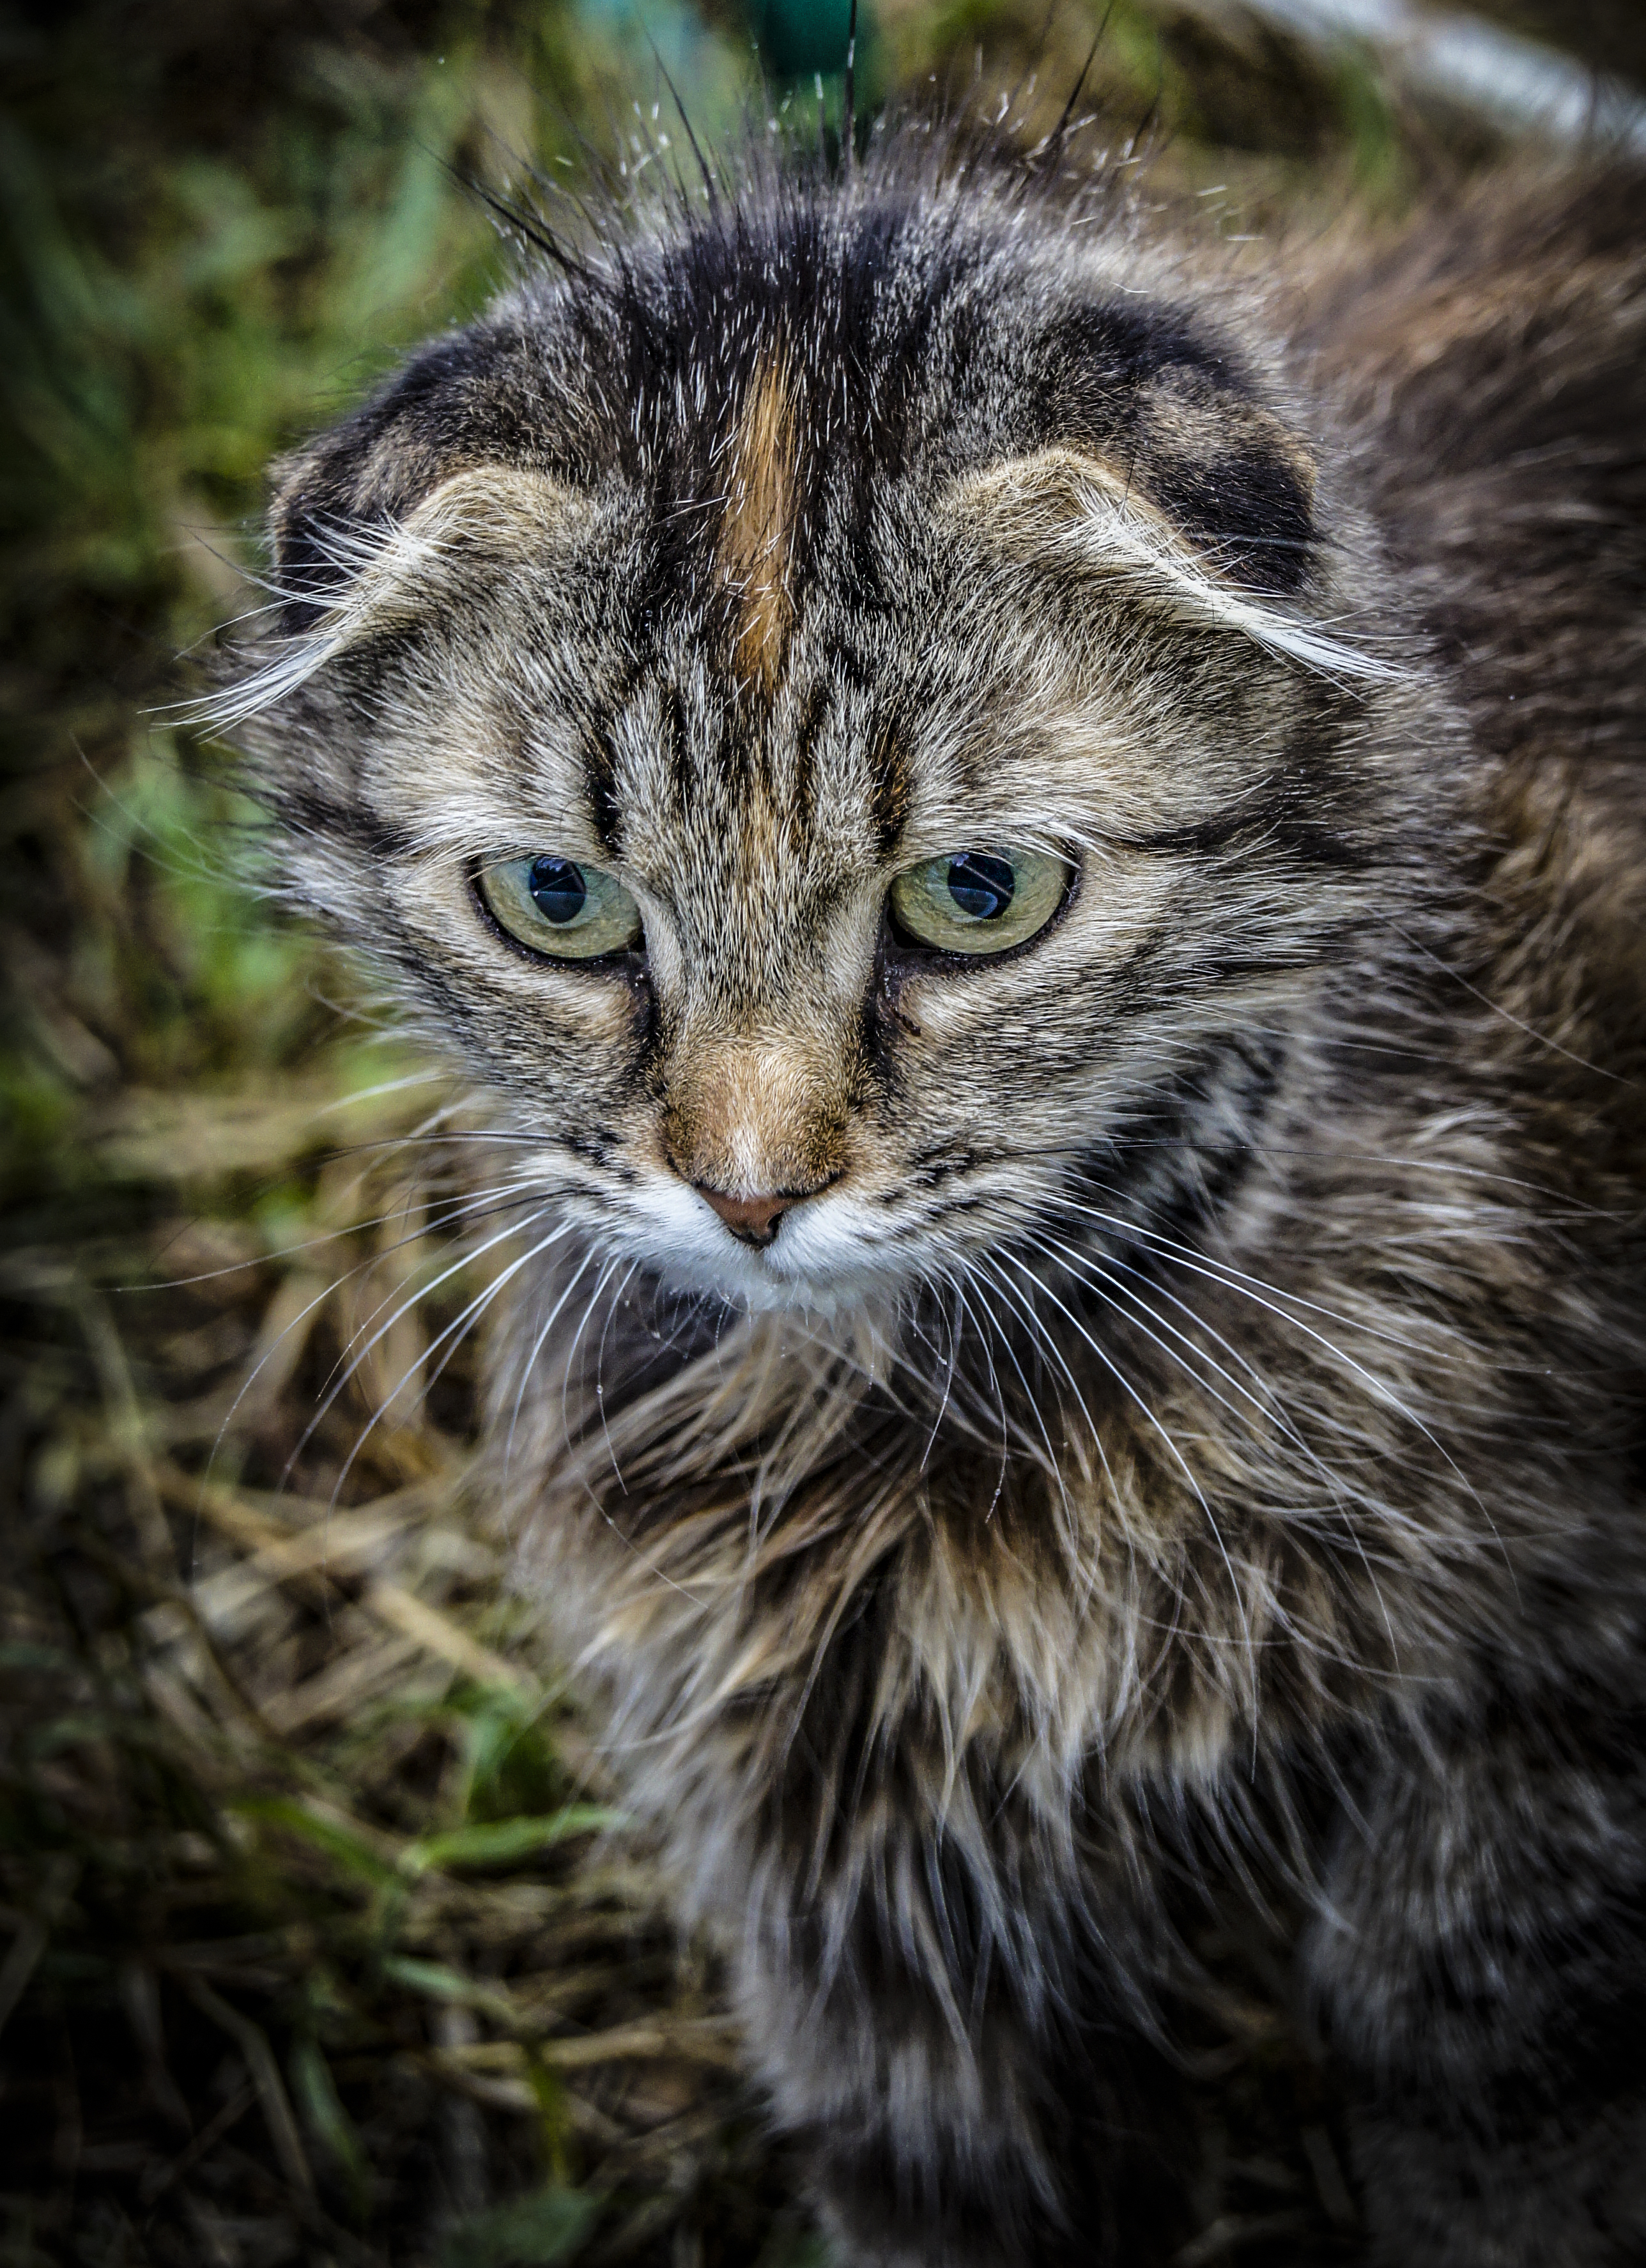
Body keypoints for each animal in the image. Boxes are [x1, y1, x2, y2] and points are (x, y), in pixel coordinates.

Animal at [219, 106, 1646, 2268]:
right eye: (558, 901)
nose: (745, 1187)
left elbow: (1490, 2106)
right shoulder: (855, 1910)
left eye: (978, 897)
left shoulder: (1536, 1797)